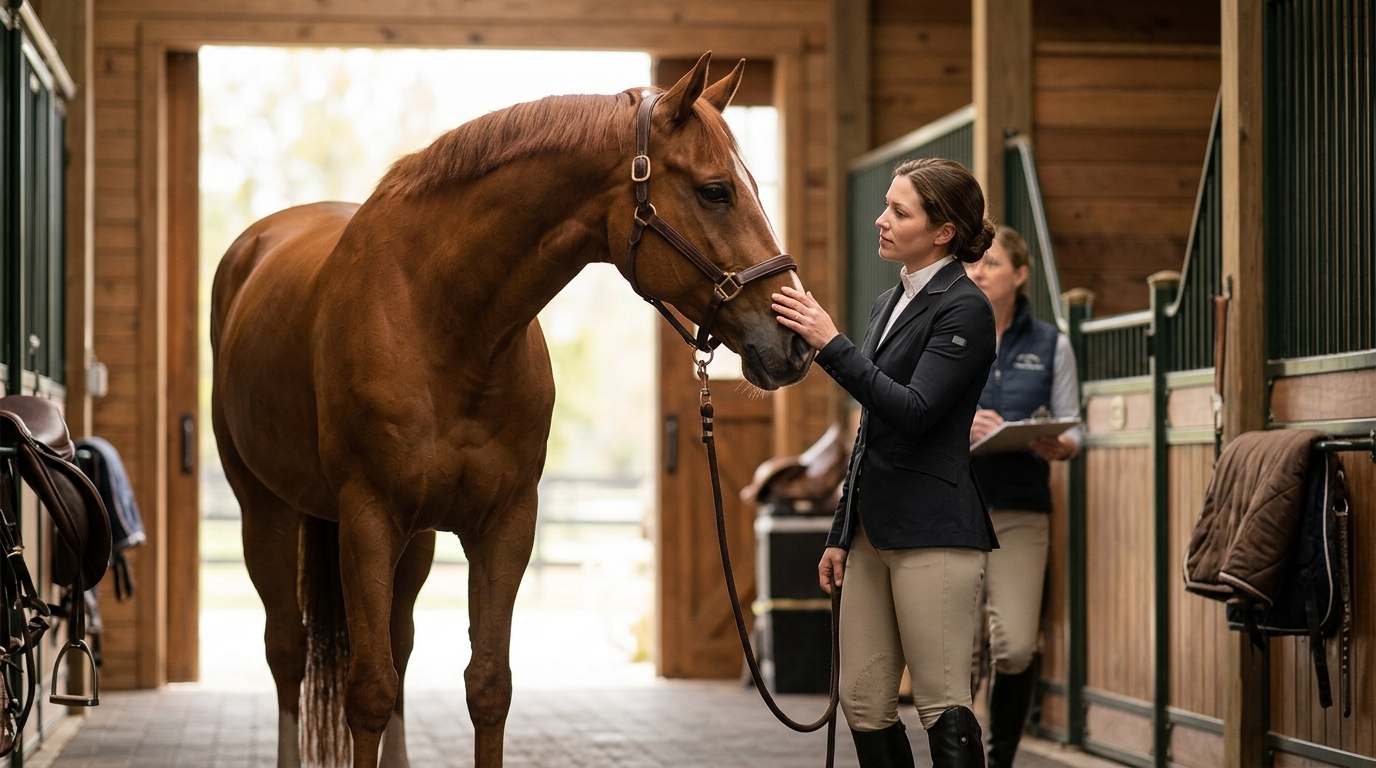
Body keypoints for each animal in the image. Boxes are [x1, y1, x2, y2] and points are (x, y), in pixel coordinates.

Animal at [209, 52, 814, 768]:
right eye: (715, 191)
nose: (797, 343)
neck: (444, 323)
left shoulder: (505, 522)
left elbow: (487, 686)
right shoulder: (367, 519)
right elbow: (368, 691)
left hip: (413, 539)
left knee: (400, 645)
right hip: (265, 510)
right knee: (289, 650)